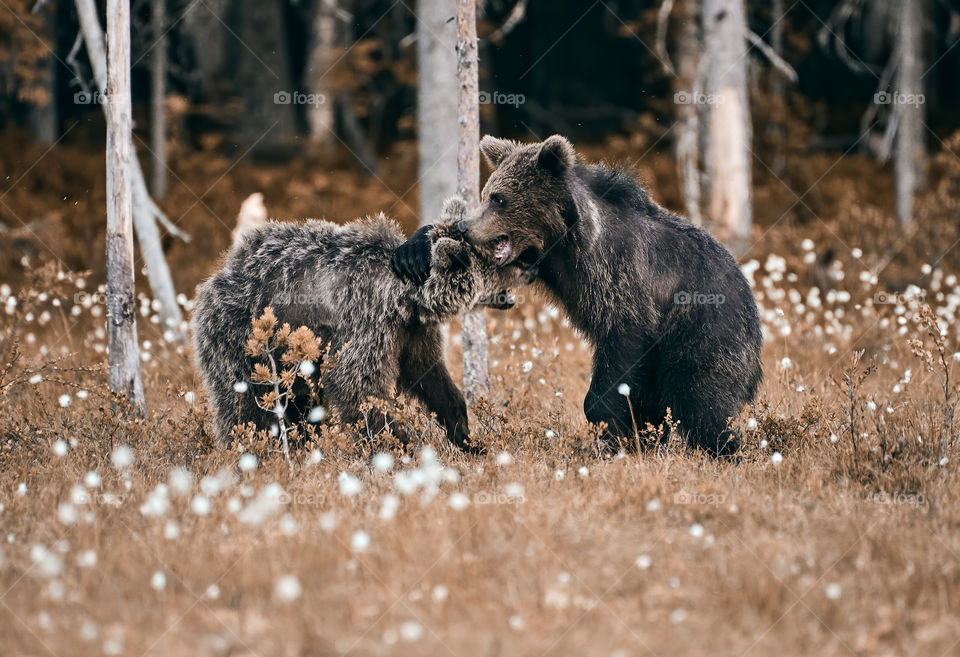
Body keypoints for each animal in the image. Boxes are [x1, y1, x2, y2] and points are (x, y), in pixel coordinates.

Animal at [190, 196, 528, 452]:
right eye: (497, 254)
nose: (528, 265)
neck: (406, 297)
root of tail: (216, 276)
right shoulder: (366, 322)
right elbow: (357, 387)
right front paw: (400, 446)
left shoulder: (411, 332)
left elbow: (430, 376)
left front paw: (468, 439)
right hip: (241, 340)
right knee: (244, 402)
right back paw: (249, 448)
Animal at [392, 136, 764, 454]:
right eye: (486, 194)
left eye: (499, 198)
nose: (465, 227)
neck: (570, 241)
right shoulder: (546, 262)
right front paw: (414, 249)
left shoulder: (624, 283)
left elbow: (622, 345)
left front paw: (605, 423)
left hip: (705, 328)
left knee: (702, 398)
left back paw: (724, 449)